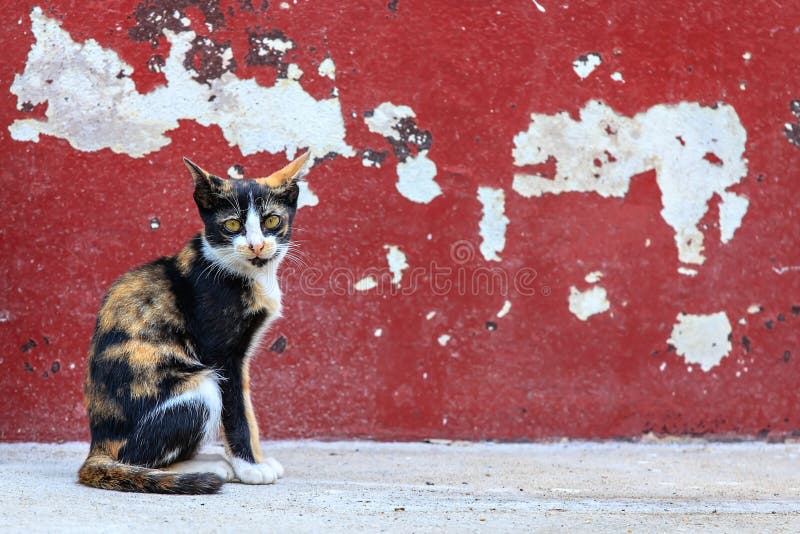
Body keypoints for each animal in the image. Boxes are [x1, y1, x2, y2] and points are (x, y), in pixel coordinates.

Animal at [77, 153, 310, 496]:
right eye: (232, 225)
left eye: (271, 221)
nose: (256, 246)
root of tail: (97, 447)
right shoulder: (221, 355)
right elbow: (236, 411)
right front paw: (250, 467)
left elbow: (248, 407)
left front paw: (257, 459)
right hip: (199, 387)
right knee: (137, 458)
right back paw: (207, 469)